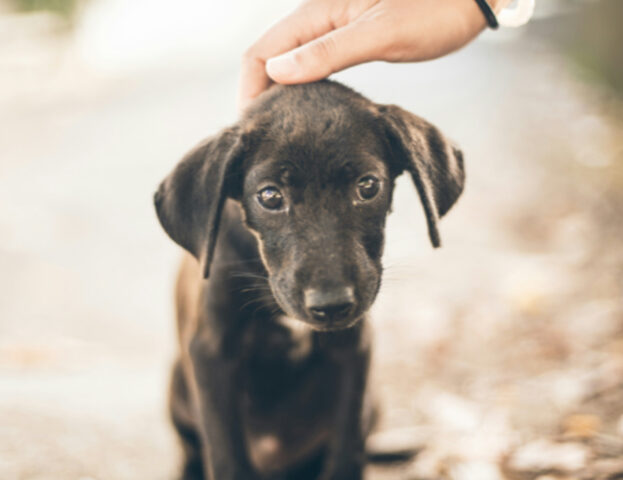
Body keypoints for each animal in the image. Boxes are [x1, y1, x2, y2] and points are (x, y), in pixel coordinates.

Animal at [154, 80, 466, 478]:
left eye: (368, 186)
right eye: (270, 196)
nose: (331, 305)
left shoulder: (353, 350)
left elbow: (346, 449)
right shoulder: (212, 354)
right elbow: (227, 457)